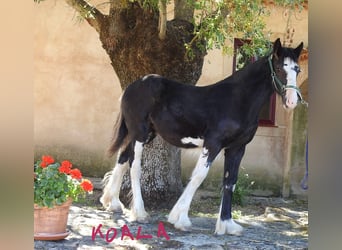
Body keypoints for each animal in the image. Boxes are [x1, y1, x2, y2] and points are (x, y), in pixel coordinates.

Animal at [100, 38, 304, 235]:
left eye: (297, 69)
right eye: (280, 68)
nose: (292, 101)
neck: (237, 100)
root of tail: (132, 87)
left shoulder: (237, 148)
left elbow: (230, 182)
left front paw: (227, 224)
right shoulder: (213, 144)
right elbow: (199, 176)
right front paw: (180, 219)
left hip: (146, 134)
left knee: (123, 158)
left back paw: (113, 202)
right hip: (140, 134)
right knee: (134, 166)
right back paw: (140, 213)